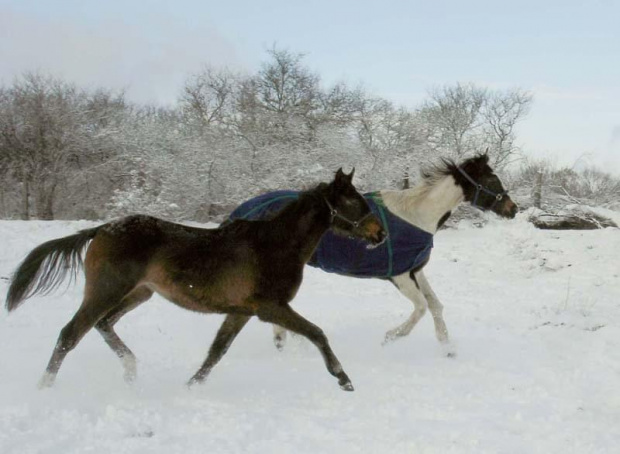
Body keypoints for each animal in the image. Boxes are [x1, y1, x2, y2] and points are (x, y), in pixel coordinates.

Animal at [4, 168, 386, 392]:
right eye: (354, 201)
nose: (380, 234)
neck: (275, 245)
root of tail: (101, 229)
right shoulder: (269, 307)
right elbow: (316, 333)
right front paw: (343, 378)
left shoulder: (242, 312)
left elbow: (217, 351)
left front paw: (190, 386)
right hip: (107, 290)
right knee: (70, 334)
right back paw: (44, 388)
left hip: (139, 293)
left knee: (103, 324)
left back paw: (131, 371)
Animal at [230, 153, 516, 354]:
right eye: (491, 180)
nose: (513, 209)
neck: (418, 216)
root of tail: (243, 210)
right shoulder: (400, 276)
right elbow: (422, 307)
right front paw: (390, 337)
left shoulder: (415, 271)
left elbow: (435, 305)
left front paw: (447, 347)